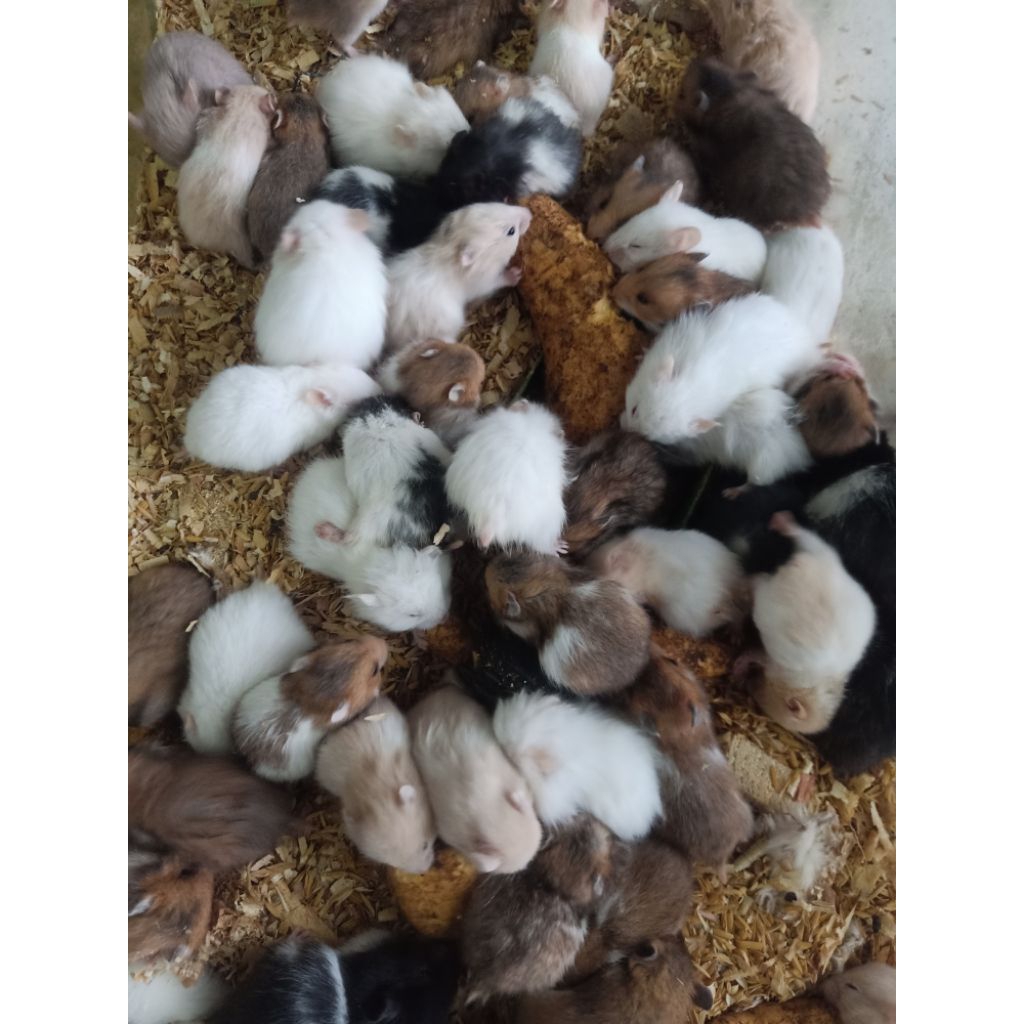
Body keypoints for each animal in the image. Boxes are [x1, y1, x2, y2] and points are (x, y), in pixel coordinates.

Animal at [386, 202, 531, 350]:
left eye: (497, 205)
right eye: (511, 231)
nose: (529, 213)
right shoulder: (486, 283)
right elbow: (501, 279)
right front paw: (517, 273)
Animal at [742, 512, 877, 735]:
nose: (748, 689)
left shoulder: (772, 665)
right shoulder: (774, 666)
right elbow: (752, 656)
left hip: (824, 555)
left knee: (805, 537)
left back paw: (781, 519)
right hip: (767, 597)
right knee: (756, 579)